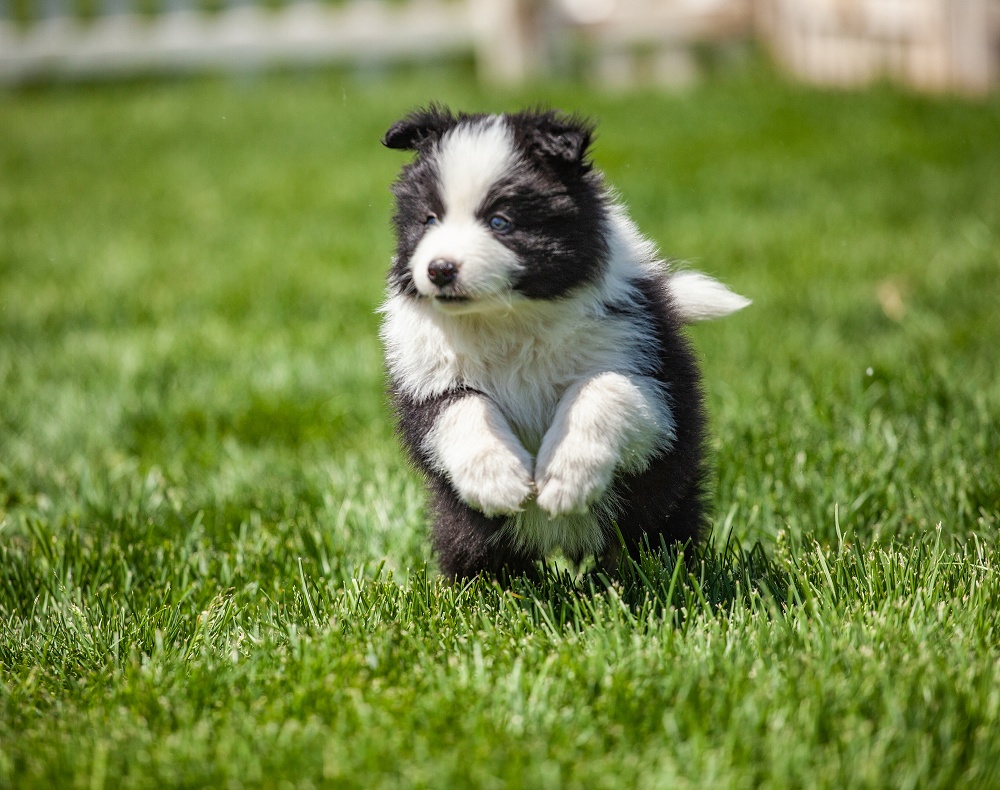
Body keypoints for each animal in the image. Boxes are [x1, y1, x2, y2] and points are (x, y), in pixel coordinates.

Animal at [378, 106, 748, 580]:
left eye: (500, 222)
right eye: (428, 219)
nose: (440, 269)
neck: (509, 319)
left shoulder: (649, 375)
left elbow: (601, 388)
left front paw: (565, 479)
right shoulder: (426, 378)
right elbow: (461, 408)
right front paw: (499, 481)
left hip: (662, 503)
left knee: (657, 537)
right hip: (460, 527)